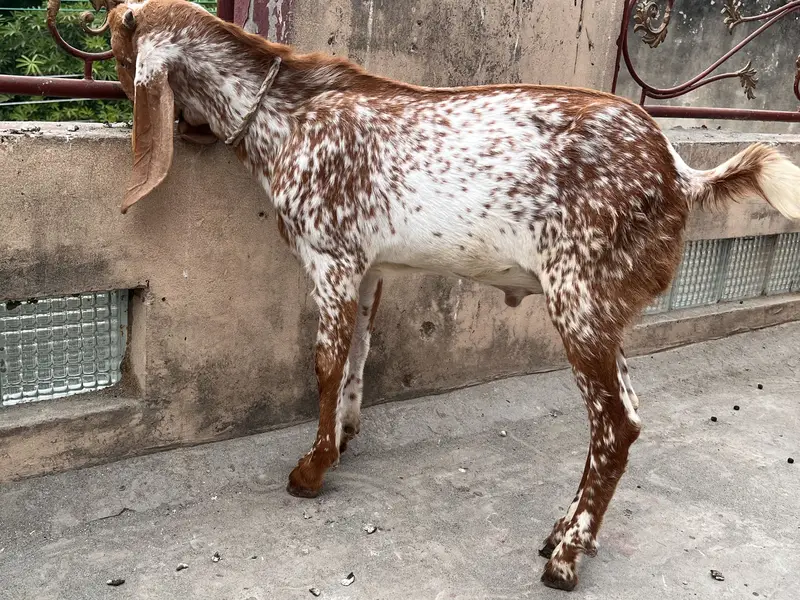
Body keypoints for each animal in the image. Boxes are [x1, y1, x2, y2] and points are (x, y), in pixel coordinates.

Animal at [108, 0, 800, 591]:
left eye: (119, 45)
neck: (289, 114)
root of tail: (680, 173)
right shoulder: (369, 267)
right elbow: (358, 356)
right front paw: (344, 438)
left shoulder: (330, 257)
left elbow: (326, 362)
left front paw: (311, 469)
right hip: (605, 308)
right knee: (624, 413)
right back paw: (563, 530)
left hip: (578, 297)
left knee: (616, 422)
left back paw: (567, 555)